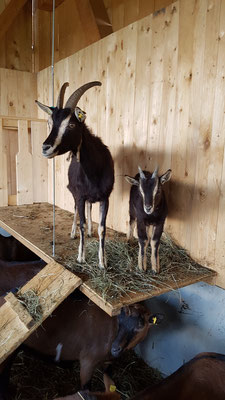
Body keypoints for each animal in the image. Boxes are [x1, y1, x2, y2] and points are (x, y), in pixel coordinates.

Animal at [36, 81, 115, 268]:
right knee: (76, 211)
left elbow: (102, 227)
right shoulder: (79, 195)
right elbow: (82, 223)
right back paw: (73, 233)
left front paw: (103, 261)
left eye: (71, 125)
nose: (45, 148)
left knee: (88, 208)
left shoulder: (105, 197)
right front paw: (81, 256)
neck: (94, 171)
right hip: (74, 192)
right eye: (50, 123)